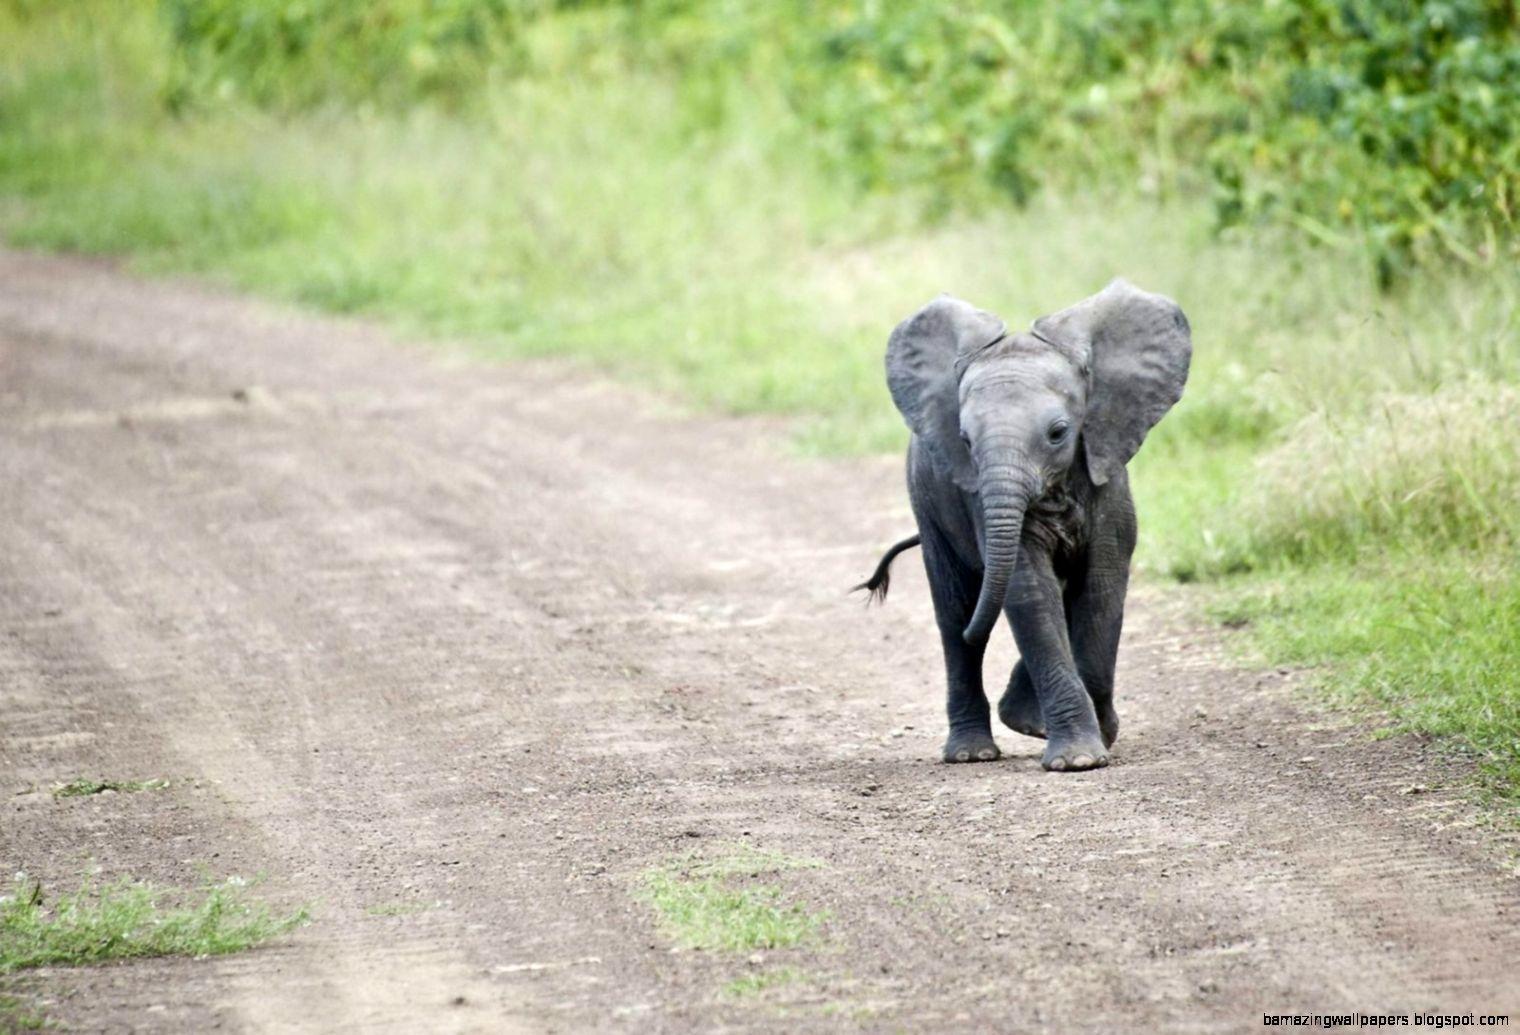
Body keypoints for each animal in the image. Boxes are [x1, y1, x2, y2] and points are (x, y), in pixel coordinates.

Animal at [857, 280, 1191, 771]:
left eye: (1058, 433)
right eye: (965, 440)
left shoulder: (1106, 476)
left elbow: (1101, 588)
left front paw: (1092, 742)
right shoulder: (978, 499)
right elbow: (1030, 589)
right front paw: (1078, 759)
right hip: (928, 505)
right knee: (955, 616)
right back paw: (972, 753)